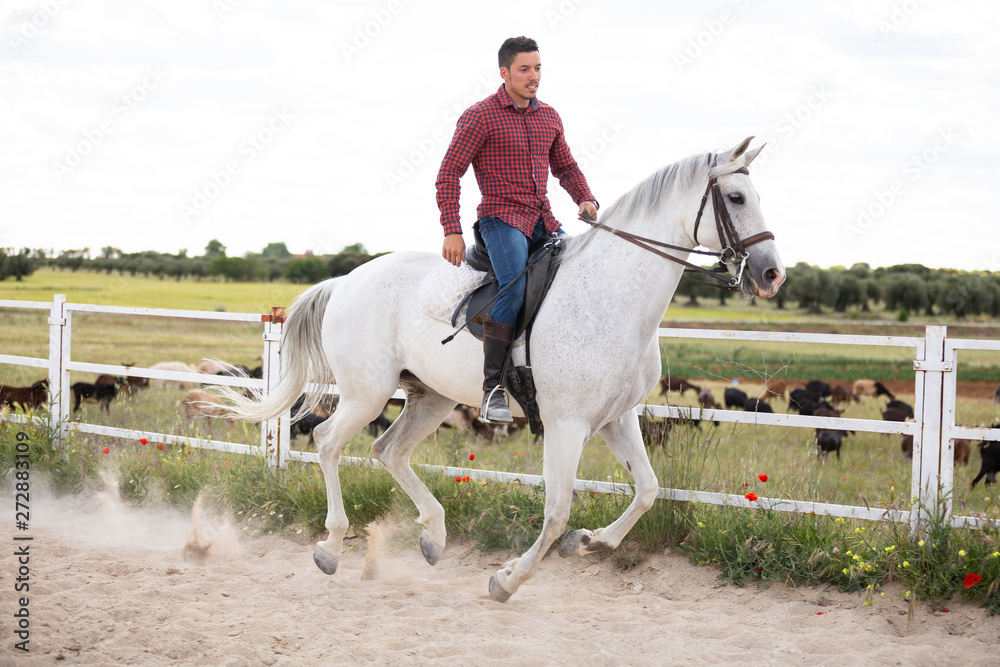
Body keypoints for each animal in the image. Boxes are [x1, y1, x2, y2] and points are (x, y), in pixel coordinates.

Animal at [223, 137, 785, 602]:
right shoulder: (566, 425)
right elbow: (556, 513)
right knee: (328, 443)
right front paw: (507, 579)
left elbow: (646, 491)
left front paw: (588, 542)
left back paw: (433, 536)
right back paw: (332, 547)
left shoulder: (616, 418)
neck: (610, 297)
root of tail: (346, 280)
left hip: (431, 398)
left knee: (388, 450)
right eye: (737, 198)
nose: (772, 274)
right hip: (367, 393)